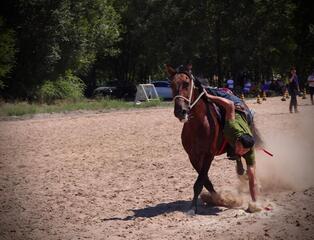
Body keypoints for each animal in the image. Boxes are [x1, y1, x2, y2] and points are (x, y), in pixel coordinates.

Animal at [166, 64, 227, 214]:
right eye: (171, 85)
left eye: (186, 83)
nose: (180, 111)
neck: (198, 125)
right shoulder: (193, 156)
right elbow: (204, 180)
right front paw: (216, 198)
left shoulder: (208, 155)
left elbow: (200, 181)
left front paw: (193, 207)